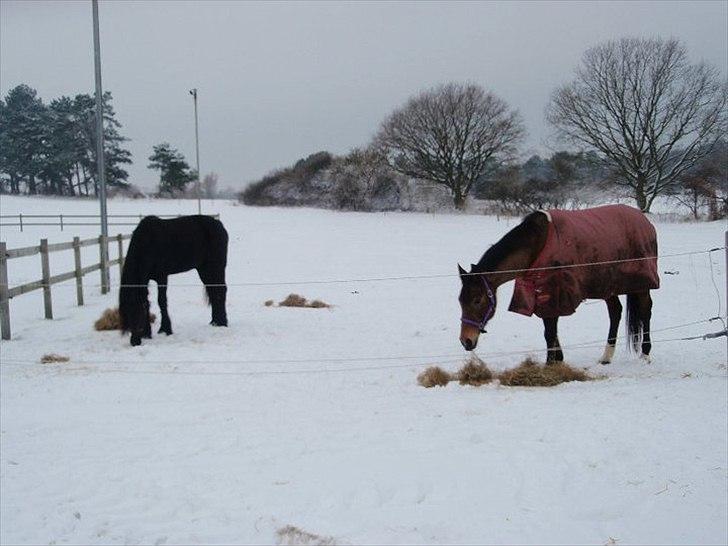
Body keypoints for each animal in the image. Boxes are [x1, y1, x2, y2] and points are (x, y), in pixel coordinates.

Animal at [119, 214, 228, 344]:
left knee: (221, 291)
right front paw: (148, 333)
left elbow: (161, 301)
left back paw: (222, 322)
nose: (135, 342)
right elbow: (147, 300)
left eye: (139, 311)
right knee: (214, 291)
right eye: (126, 312)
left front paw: (165, 329)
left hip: (216, 267)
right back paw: (214, 322)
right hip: (204, 269)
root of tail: (219, 225)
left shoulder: (162, 277)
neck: (148, 243)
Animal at [460, 203, 660, 362]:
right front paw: (558, 359)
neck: (538, 244)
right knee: (615, 312)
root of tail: (644, 220)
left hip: (640, 284)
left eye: (477, 300)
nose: (466, 341)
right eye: (460, 301)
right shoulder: (541, 295)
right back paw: (606, 357)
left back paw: (645, 354)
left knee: (645, 309)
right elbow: (550, 331)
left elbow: (549, 332)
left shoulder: (555, 292)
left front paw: (551, 364)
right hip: (607, 284)